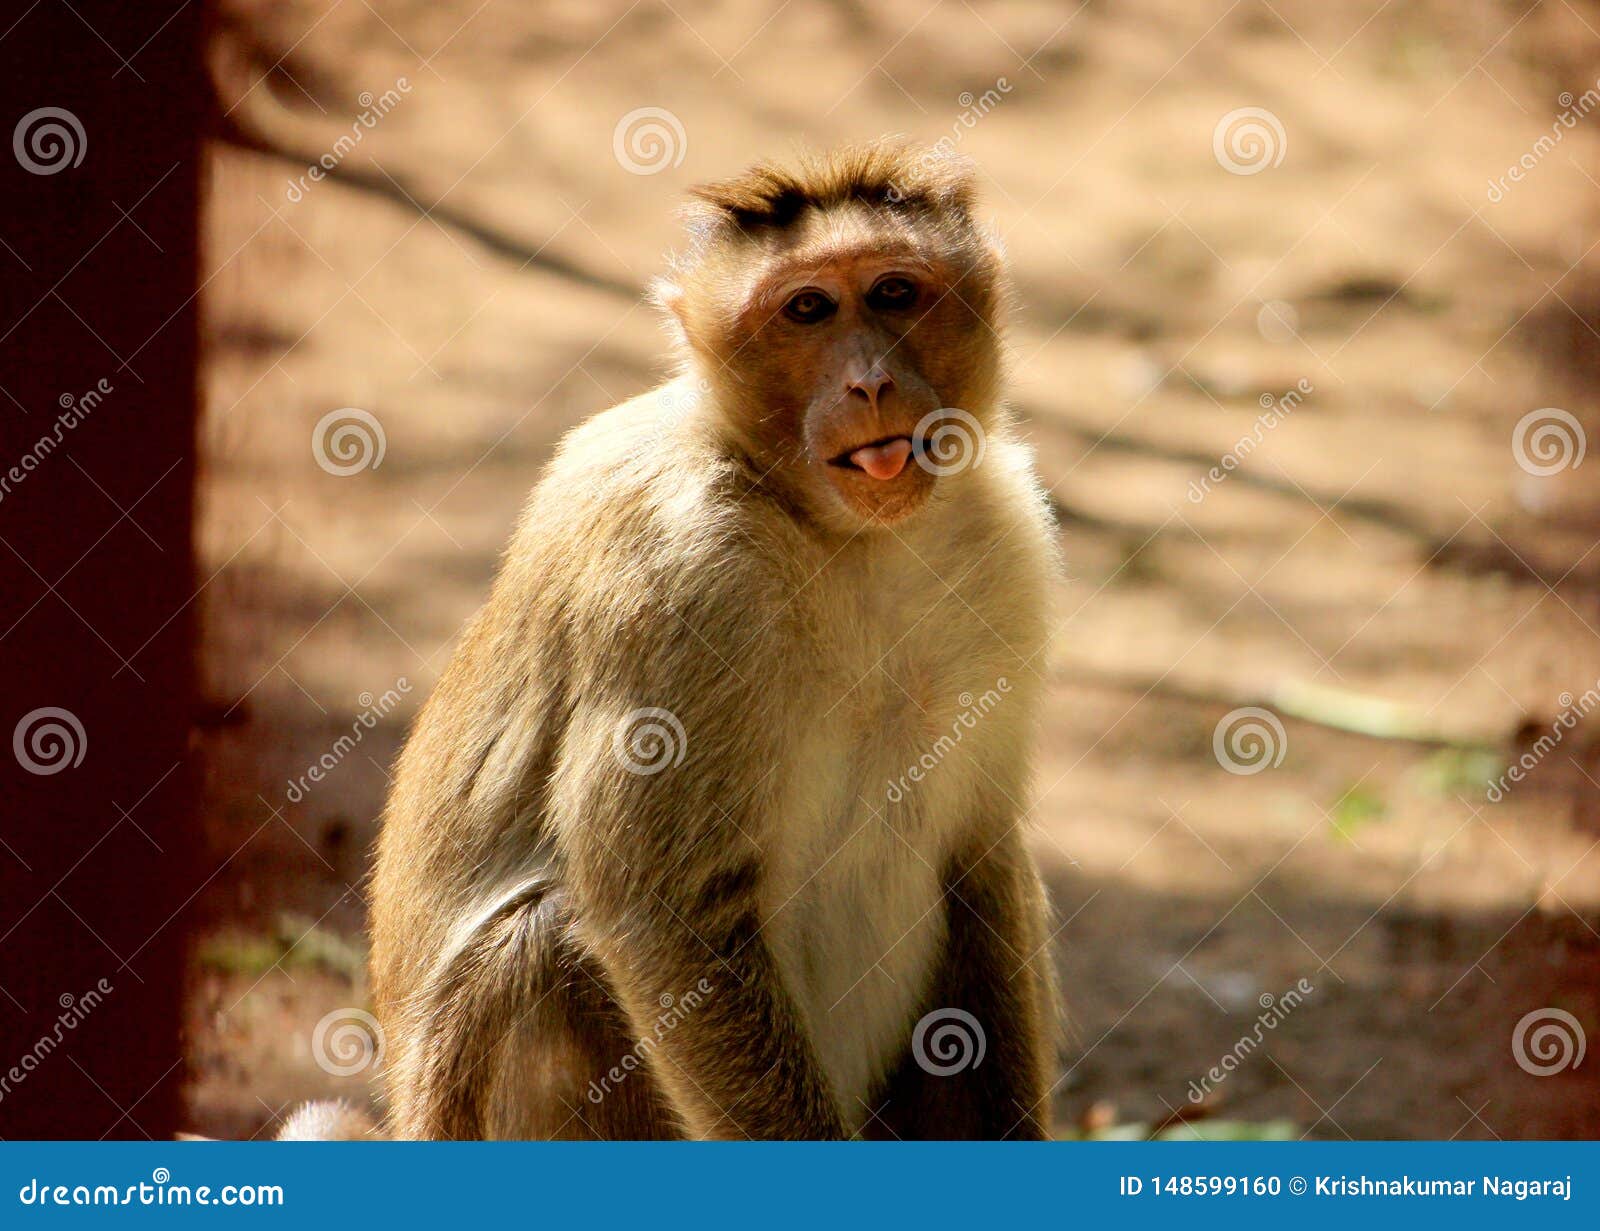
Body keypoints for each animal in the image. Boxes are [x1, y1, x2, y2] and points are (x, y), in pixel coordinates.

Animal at [345, 144, 1062, 1139]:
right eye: (807, 310)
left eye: (893, 292)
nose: (870, 383)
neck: (840, 537)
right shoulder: (675, 567)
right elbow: (664, 912)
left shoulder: (1007, 539)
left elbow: (980, 853)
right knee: (544, 953)